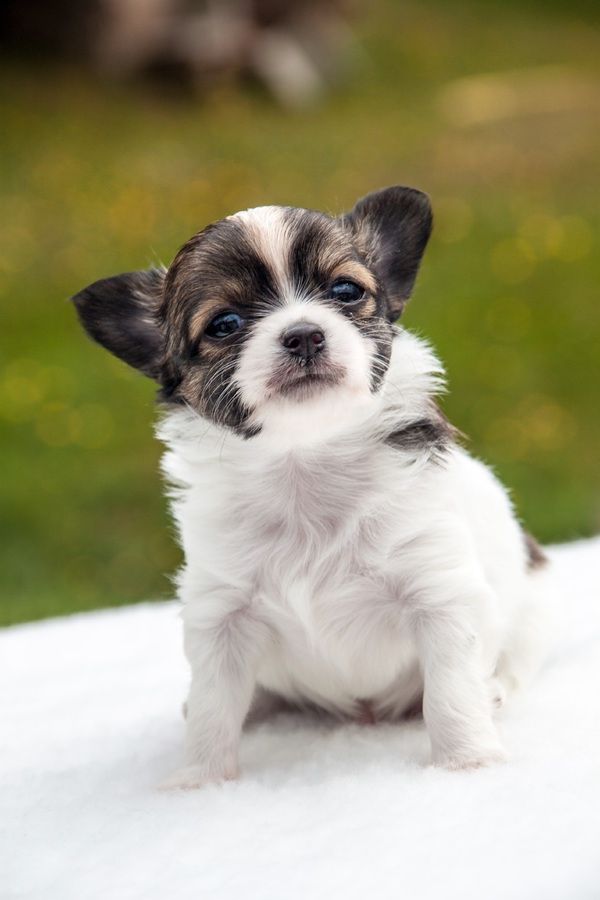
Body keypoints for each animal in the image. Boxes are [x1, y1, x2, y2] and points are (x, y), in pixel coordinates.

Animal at [74, 185, 556, 788]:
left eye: (345, 291)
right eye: (225, 324)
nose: (303, 333)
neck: (304, 463)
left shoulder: (440, 595)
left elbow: (451, 693)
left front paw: (468, 762)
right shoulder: (221, 615)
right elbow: (212, 709)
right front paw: (200, 781)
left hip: (530, 611)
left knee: (511, 665)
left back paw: (495, 692)